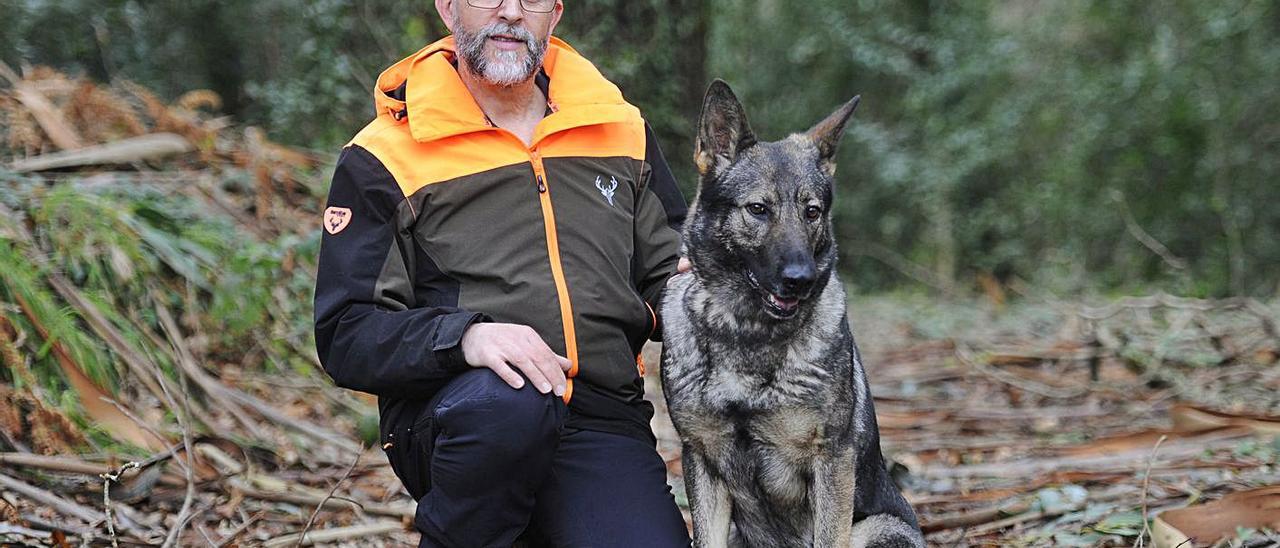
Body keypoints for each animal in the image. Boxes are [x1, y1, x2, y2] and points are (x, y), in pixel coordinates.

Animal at [660, 81, 921, 548]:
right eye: (758, 209)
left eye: (811, 211)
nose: (801, 279)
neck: (746, 331)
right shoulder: (701, 460)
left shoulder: (831, 461)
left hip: (877, 528)